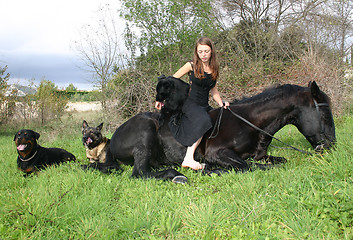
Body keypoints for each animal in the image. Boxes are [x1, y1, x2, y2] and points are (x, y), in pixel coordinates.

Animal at [83, 77, 336, 184]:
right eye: (324, 115)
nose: (332, 147)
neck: (249, 122)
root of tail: (114, 135)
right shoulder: (219, 153)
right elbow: (248, 167)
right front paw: (211, 170)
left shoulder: (261, 155)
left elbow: (277, 161)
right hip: (145, 133)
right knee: (140, 174)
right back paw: (177, 174)